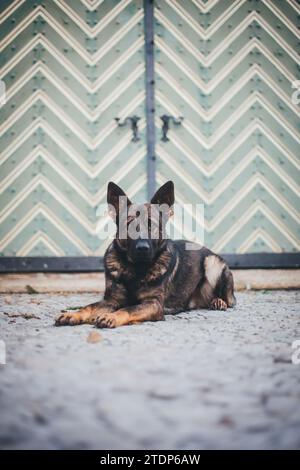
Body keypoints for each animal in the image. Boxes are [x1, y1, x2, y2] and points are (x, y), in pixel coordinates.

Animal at [55, 182, 236, 328]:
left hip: (212, 263)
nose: (142, 248)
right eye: (129, 225)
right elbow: (89, 306)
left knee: (231, 300)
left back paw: (219, 301)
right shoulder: (111, 300)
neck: (135, 270)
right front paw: (73, 314)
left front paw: (111, 316)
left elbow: (129, 308)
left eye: (152, 226)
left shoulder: (153, 304)